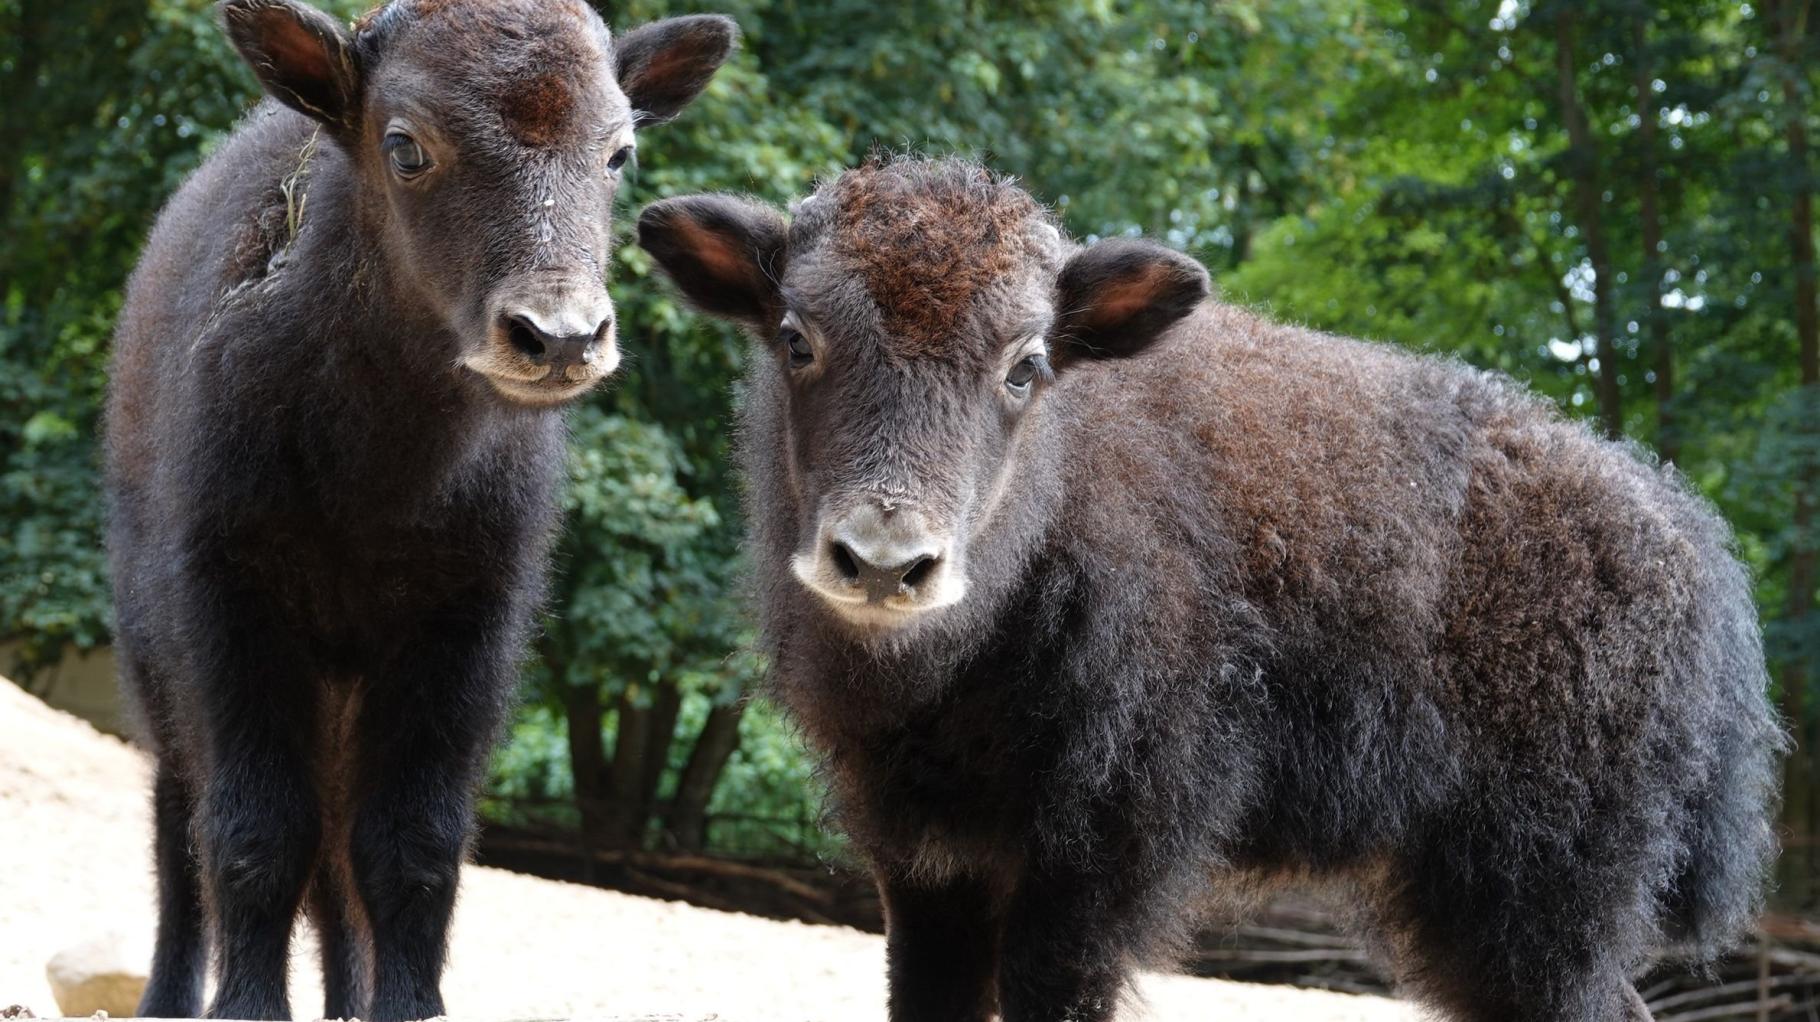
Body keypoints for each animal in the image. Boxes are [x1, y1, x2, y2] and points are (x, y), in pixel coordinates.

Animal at [101, 3, 731, 1011]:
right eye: (404, 145)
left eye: (620, 151)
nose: (561, 337)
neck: (384, 471)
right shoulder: (230, 606)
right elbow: (251, 833)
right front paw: (249, 1007)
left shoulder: (465, 626)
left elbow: (410, 847)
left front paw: (404, 1007)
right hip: (157, 665)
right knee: (180, 826)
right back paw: (166, 1000)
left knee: (334, 869)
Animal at [644, 152, 1790, 1018]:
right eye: (795, 336)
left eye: (1025, 363)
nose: (885, 560)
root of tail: (1691, 546)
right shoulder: (924, 861)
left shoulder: (1102, 855)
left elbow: (1052, 992)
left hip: (1541, 901)